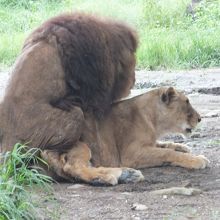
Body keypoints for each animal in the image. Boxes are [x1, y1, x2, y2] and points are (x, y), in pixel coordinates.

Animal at [42, 87, 209, 185]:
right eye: (186, 102)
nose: (200, 118)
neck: (154, 121)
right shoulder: (132, 153)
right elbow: (167, 152)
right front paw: (197, 159)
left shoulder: (149, 143)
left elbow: (165, 145)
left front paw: (184, 148)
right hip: (80, 144)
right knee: (74, 167)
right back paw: (107, 178)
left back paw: (127, 174)